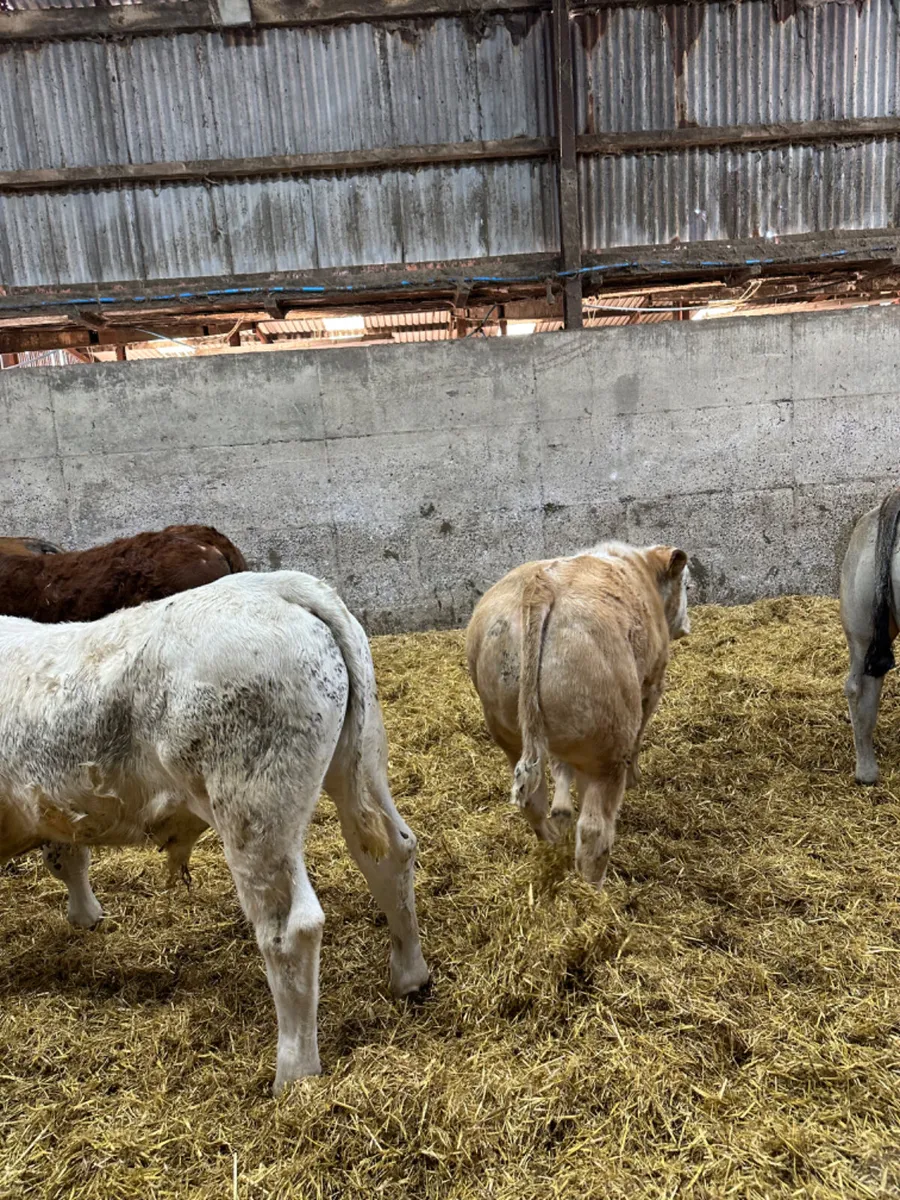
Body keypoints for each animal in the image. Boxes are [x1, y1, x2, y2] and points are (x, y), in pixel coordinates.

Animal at [0, 570, 429, 1093]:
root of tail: (277, 585)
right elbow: (68, 856)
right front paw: (85, 916)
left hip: (253, 808)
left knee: (290, 928)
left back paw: (294, 1074)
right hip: (361, 759)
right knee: (391, 854)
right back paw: (410, 976)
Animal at [466, 541, 690, 886]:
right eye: (686, 585)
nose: (686, 626)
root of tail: (540, 587)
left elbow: (561, 770)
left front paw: (562, 808)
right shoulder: (653, 682)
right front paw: (636, 777)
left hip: (510, 731)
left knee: (533, 802)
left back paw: (553, 843)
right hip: (606, 747)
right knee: (594, 830)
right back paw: (593, 889)